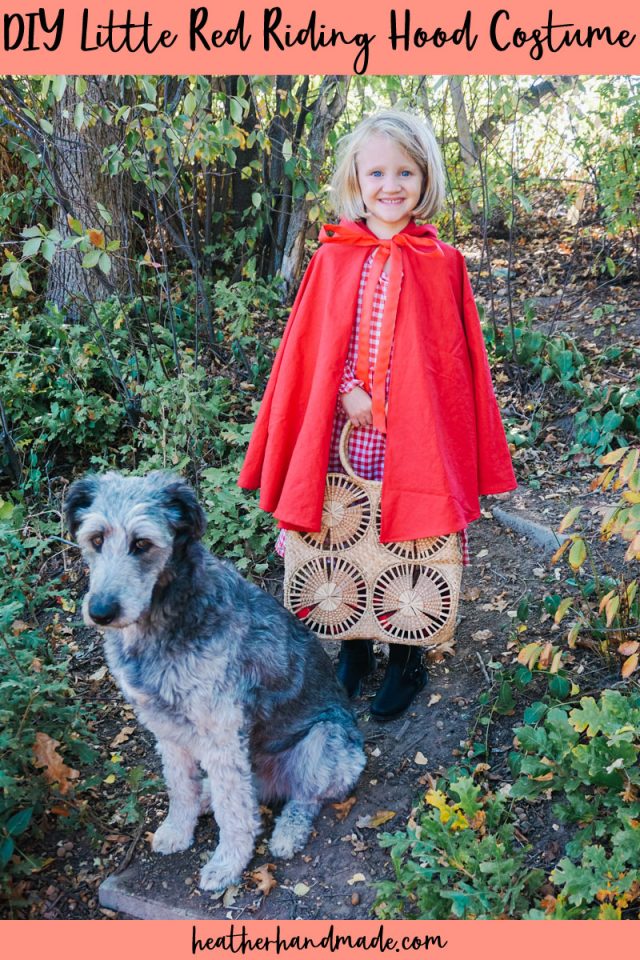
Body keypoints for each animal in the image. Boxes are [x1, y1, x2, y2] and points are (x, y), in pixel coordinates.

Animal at [66, 472, 364, 892]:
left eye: (142, 544)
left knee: (303, 798)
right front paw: (178, 829)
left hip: (325, 741)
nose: (101, 611)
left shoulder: (221, 728)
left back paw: (287, 833)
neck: (161, 623)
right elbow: (179, 784)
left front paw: (227, 864)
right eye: (95, 539)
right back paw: (206, 795)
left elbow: (234, 811)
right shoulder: (164, 724)